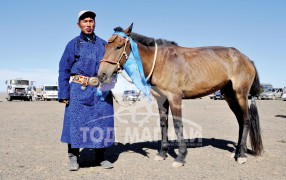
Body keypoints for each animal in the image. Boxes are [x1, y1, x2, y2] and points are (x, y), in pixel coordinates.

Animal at [98, 23, 264, 167]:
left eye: (119, 46)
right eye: (106, 46)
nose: (102, 75)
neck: (160, 62)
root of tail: (247, 59)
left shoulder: (175, 98)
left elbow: (178, 125)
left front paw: (181, 157)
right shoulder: (161, 99)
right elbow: (163, 124)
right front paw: (162, 153)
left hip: (241, 94)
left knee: (246, 120)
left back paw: (241, 155)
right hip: (230, 96)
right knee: (240, 121)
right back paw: (237, 152)